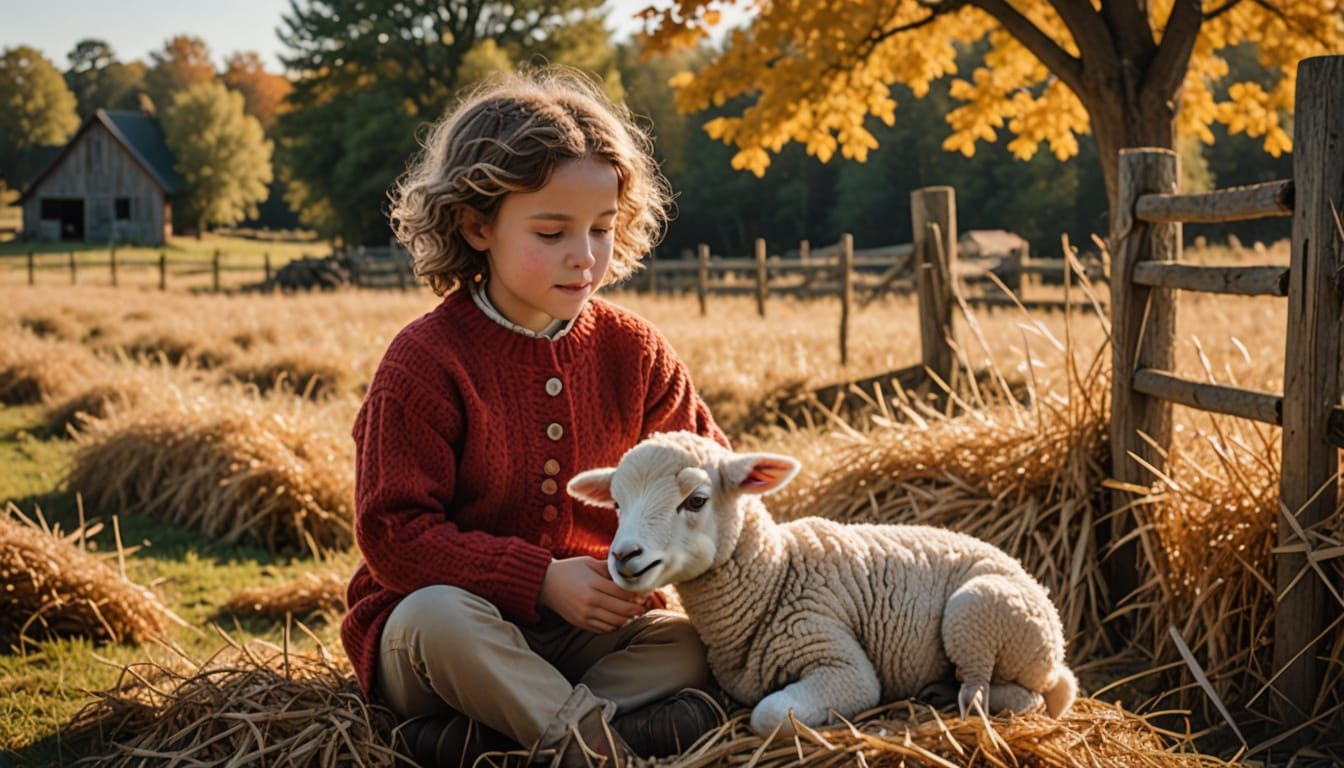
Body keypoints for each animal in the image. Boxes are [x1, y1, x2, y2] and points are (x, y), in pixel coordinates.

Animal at [567, 431, 1077, 737]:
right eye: (616, 504)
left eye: (695, 500)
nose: (624, 556)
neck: (775, 577)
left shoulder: (839, 661)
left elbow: (770, 713)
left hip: (980, 611)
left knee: (1010, 693)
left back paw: (951, 696)